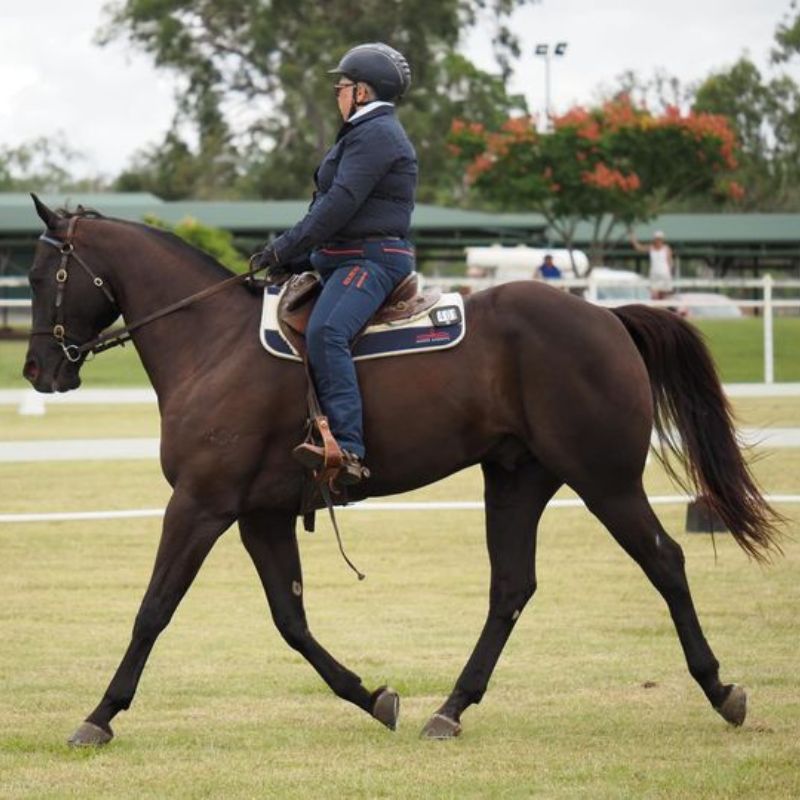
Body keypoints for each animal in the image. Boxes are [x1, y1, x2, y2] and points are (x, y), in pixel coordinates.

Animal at [22, 196, 781, 746]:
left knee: (665, 561)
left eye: (37, 278)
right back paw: (451, 707)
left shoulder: (201, 505)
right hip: (517, 479)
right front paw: (372, 696)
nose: (37, 370)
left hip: (605, 480)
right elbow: (290, 620)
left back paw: (721, 691)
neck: (212, 343)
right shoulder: (261, 516)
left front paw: (99, 715)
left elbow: (154, 609)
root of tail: (606, 317)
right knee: (511, 587)